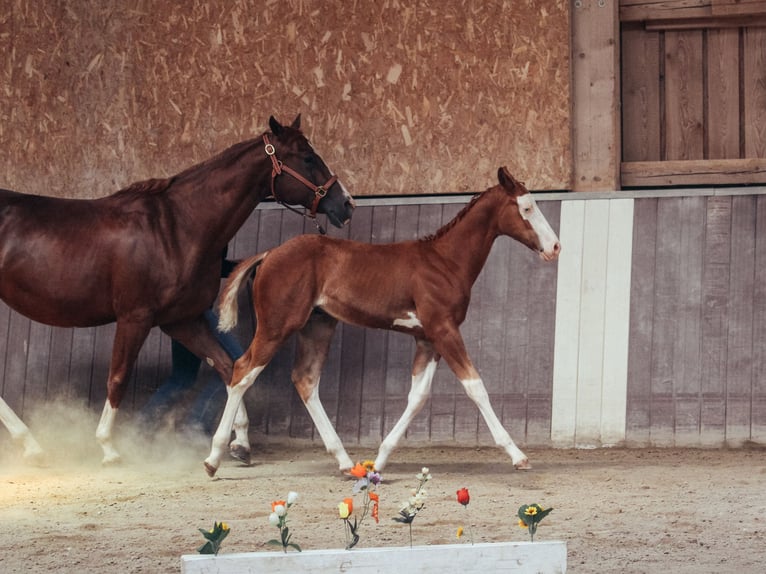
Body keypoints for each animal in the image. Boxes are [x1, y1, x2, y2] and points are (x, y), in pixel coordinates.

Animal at [0, 114, 355, 465]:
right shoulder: (135, 317)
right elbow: (118, 376)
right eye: (307, 158)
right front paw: (108, 447)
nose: (347, 204)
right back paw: (32, 445)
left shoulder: (181, 320)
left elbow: (227, 367)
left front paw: (239, 442)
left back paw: (31, 445)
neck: (175, 227)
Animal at [203, 166, 560, 477]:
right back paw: (215, 457)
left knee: (305, 380)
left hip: (317, 327)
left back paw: (345, 462)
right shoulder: (444, 330)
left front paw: (380, 459)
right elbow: (475, 387)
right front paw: (518, 455)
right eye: (526, 208)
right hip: (277, 326)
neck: (444, 262)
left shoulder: (427, 338)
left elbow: (417, 396)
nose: (555, 247)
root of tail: (268, 254)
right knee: (242, 371)